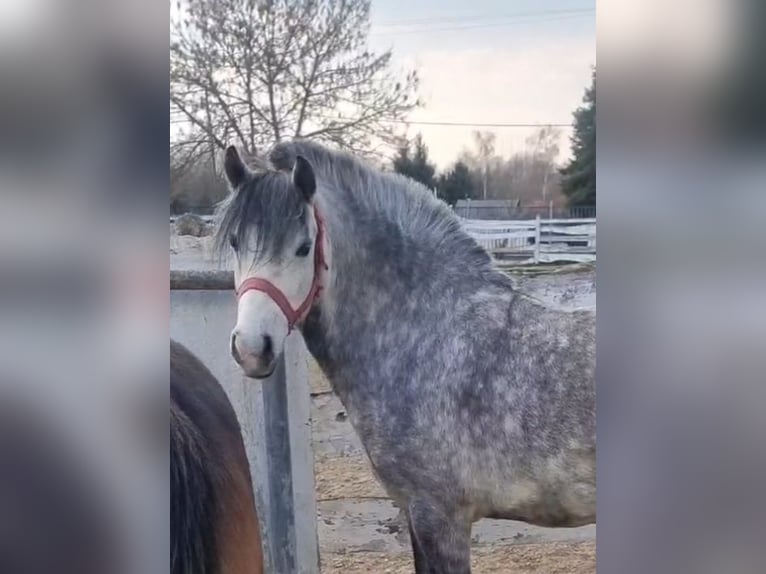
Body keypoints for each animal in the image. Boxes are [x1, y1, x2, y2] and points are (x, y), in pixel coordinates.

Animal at [215, 141, 596, 573]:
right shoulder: (414, 513)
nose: (251, 348)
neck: (426, 338)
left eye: (303, 248)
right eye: (235, 242)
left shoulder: (440, 517)